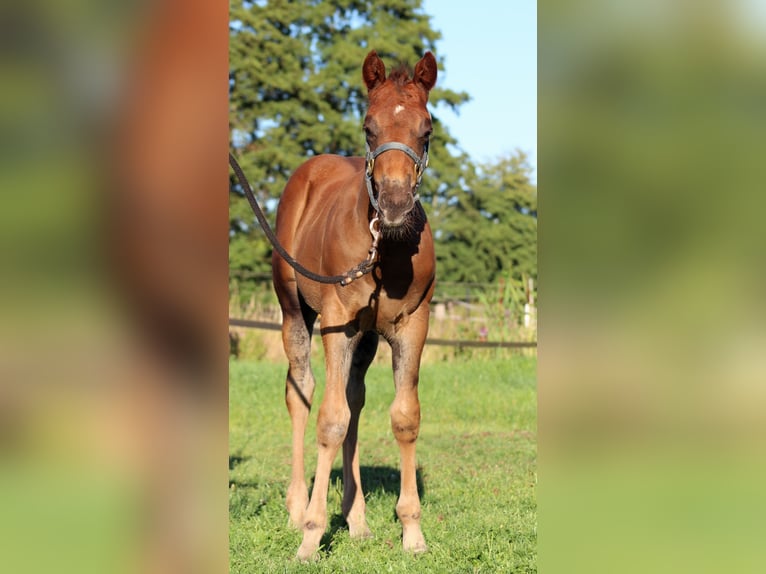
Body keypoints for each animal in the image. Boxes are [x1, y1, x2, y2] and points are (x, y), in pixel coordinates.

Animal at [271, 50, 437, 561]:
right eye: (368, 127)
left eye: (426, 129)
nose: (396, 205)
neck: (384, 248)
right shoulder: (338, 322)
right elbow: (330, 420)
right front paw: (310, 534)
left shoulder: (412, 324)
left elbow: (403, 417)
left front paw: (412, 531)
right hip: (295, 312)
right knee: (301, 392)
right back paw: (296, 506)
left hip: (365, 336)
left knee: (354, 400)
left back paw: (357, 519)